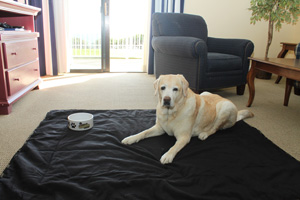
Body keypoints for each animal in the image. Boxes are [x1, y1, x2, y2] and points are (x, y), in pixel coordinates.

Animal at [122, 74, 253, 164]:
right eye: (162, 88)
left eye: (175, 89)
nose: (166, 100)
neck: (171, 114)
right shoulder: (159, 128)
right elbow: (143, 132)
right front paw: (131, 138)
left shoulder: (184, 137)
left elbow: (174, 146)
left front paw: (168, 155)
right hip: (205, 93)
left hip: (225, 107)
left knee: (215, 128)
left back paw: (204, 134)